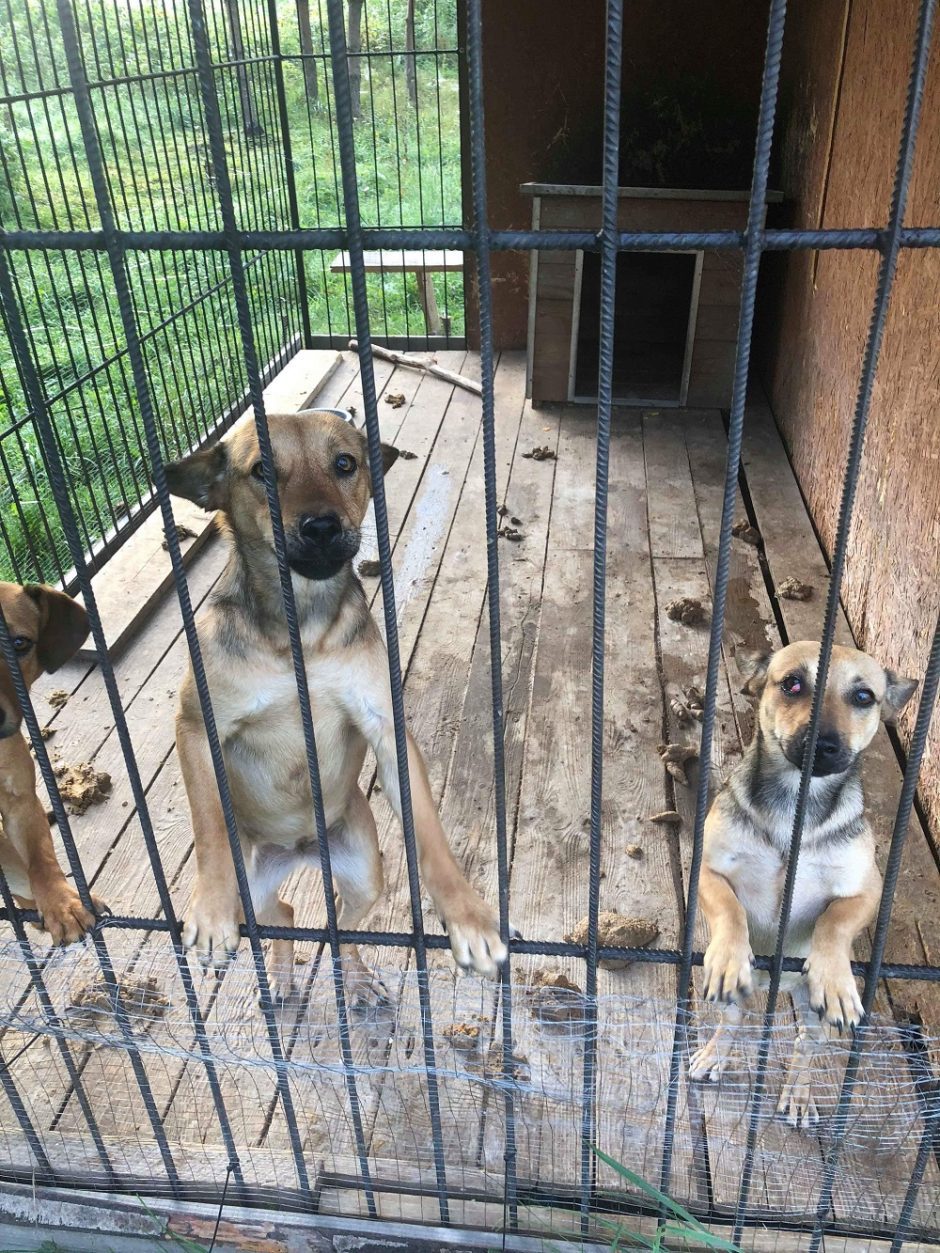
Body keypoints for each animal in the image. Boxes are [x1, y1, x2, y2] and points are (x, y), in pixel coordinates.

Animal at [166, 408, 511, 997]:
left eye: (345, 464)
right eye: (261, 471)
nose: (322, 528)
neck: (301, 629)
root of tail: (300, 849)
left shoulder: (388, 729)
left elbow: (432, 834)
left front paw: (465, 913)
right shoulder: (195, 725)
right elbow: (208, 825)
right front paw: (209, 909)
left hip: (364, 874)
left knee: (338, 925)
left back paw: (355, 976)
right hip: (254, 889)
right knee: (282, 915)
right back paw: (281, 972)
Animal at [686, 641, 917, 1132]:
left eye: (864, 697)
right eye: (792, 683)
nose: (821, 745)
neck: (796, 800)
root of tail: (780, 985)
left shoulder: (866, 891)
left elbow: (834, 922)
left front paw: (834, 977)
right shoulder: (708, 870)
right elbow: (730, 908)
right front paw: (728, 954)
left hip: (813, 1019)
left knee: (805, 1048)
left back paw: (798, 1091)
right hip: (734, 998)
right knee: (732, 1020)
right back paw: (715, 1054)